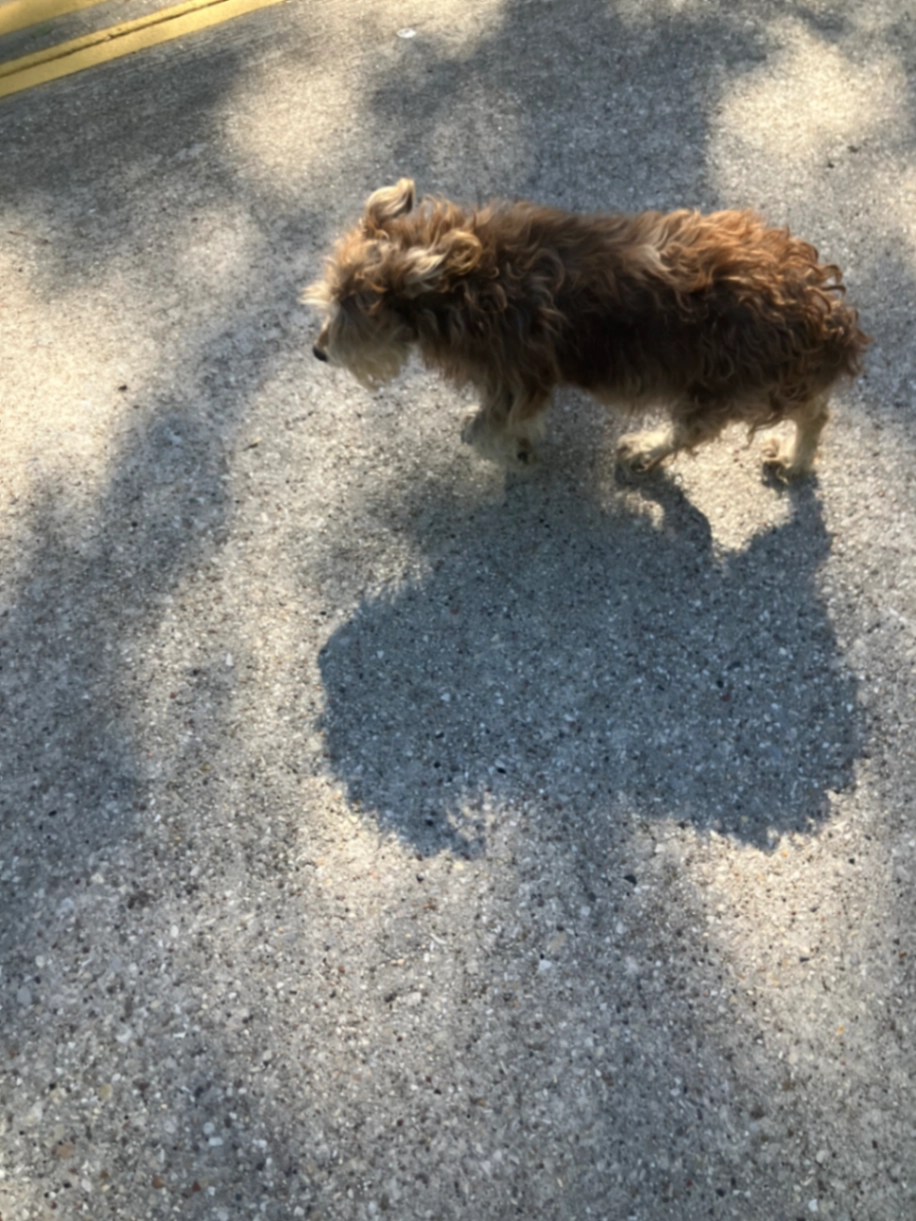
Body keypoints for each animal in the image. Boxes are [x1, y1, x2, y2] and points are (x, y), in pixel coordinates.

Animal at [306, 179, 867, 477]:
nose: (317, 351)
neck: (462, 282)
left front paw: (514, 449)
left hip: (721, 383)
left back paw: (649, 448)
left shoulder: (519, 376)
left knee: (695, 431)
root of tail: (821, 307)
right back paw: (796, 458)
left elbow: (484, 431)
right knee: (815, 410)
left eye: (349, 307)